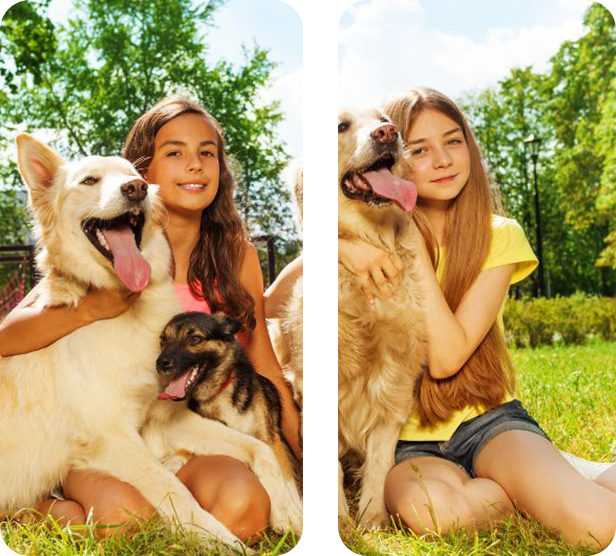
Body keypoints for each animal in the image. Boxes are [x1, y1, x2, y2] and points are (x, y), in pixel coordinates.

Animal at [158, 310, 294, 480]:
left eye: (195, 339)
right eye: (163, 340)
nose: (160, 363)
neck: (218, 393)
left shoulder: (272, 440)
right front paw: (174, 460)